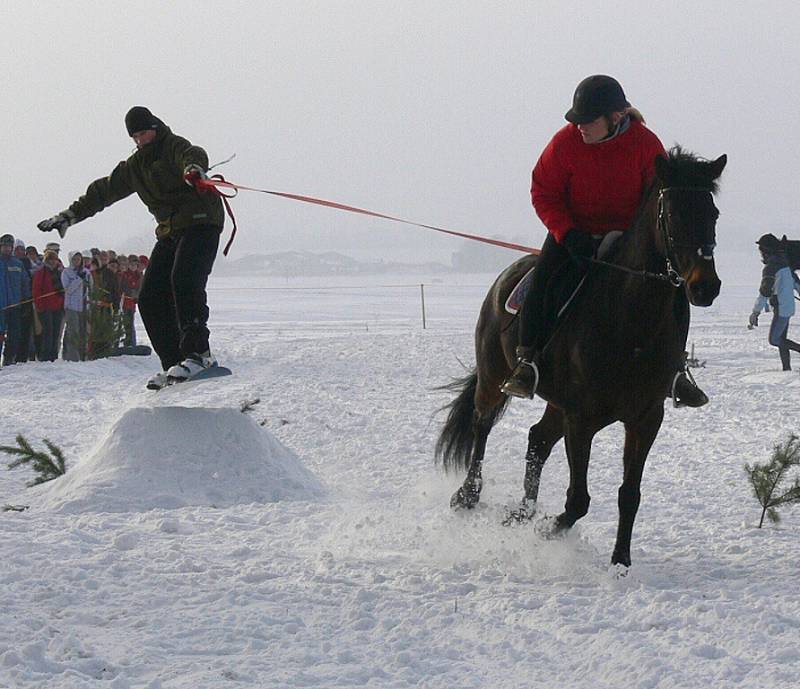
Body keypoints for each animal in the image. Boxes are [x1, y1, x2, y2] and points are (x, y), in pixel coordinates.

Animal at [434, 148, 728, 568]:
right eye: (671, 214)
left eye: (712, 213)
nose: (706, 287)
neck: (629, 323)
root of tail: (508, 273)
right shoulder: (581, 419)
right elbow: (577, 501)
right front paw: (547, 531)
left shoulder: (645, 418)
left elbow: (629, 494)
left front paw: (620, 561)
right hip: (494, 378)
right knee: (482, 425)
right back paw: (469, 494)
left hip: (556, 402)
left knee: (537, 440)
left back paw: (521, 514)